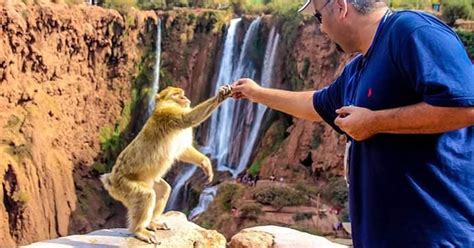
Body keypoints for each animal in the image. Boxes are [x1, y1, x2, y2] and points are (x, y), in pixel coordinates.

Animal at [100, 84, 233, 243]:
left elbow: (183, 151)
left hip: (149, 181)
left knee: (164, 190)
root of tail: (110, 179)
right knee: (146, 195)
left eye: (182, 93)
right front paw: (220, 96)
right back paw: (139, 230)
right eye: (176, 94)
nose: (185, 98)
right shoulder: (168, 113)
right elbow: (187, 119)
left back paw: (151, 223)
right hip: (124, 186)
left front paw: (205, 162)